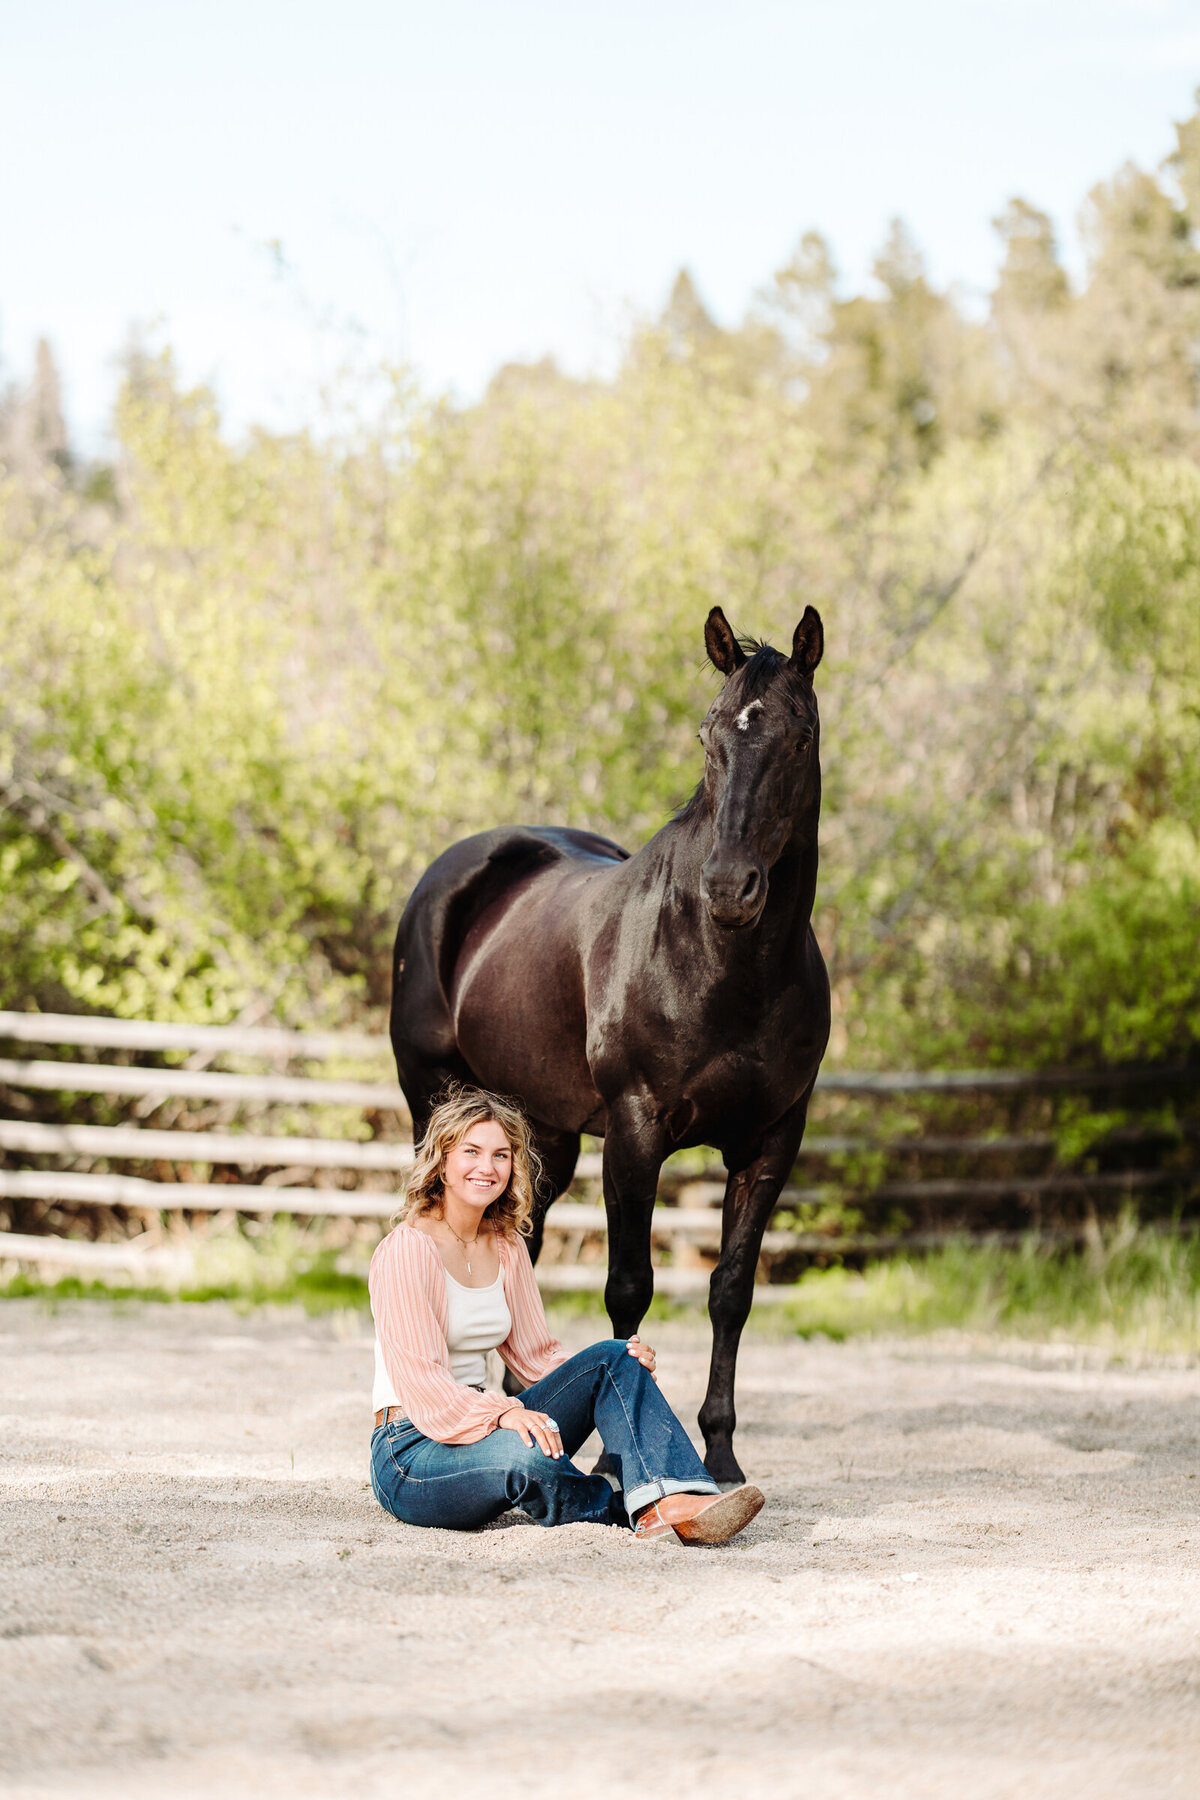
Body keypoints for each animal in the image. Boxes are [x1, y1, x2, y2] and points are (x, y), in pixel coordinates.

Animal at [390, 604, 831, 1476]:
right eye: (709, 734)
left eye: (800, 736)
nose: (730, 888)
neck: (728, 967)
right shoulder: (635, 1131)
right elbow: (629, 1286)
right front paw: (617, 1459)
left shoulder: (772, 1139)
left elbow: (732, 1291)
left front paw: (720, 1453)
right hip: (435, 1101)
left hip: (543, 1134)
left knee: (519, 1246)